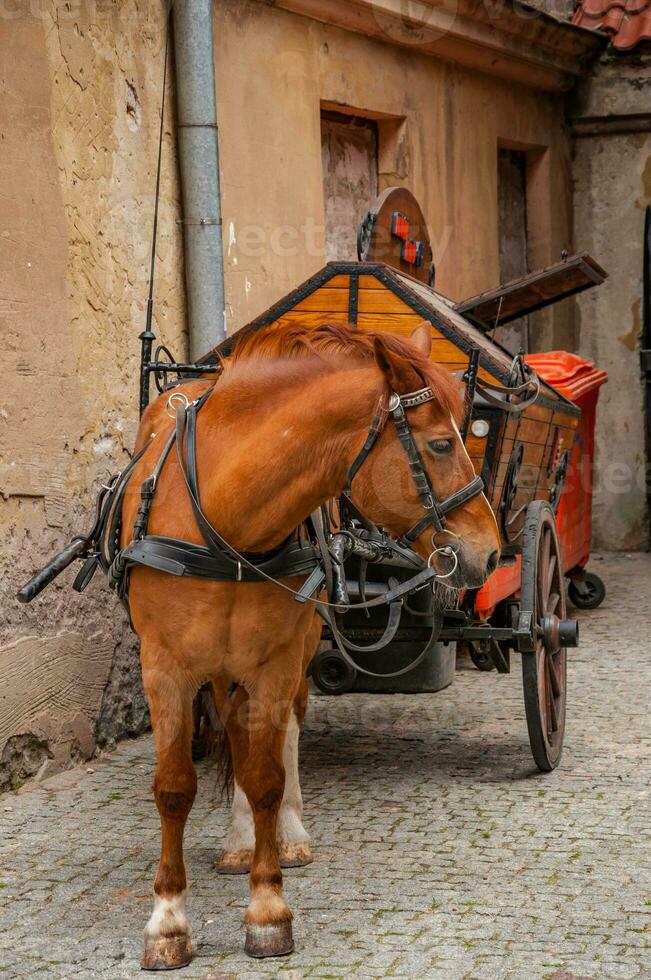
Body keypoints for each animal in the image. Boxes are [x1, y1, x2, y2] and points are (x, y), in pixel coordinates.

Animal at [122, 320, 500, 964]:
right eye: (440, 446)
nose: (493, 551)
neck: (226, 521)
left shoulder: (274, 661)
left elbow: (267, 778)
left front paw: (268, 906)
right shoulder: (164, 669)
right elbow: (174, 789)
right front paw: (168, 921)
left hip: (296, 645)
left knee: (281, 732)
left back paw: (282, 834)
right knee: (234, 728)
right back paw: (239, 840)